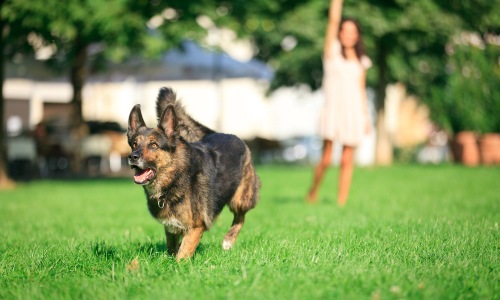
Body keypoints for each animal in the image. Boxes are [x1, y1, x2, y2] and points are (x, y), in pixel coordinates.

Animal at [127, 86, 260, 260]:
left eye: (153, 145)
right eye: (134, 144)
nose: (132, 157)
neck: (176, 177)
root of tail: (220, 133)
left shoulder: (196, 228)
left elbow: (181, 256)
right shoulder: (171, 227)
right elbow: (172, 249)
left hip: (240, 199)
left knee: (241, 217)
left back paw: (228, 241)